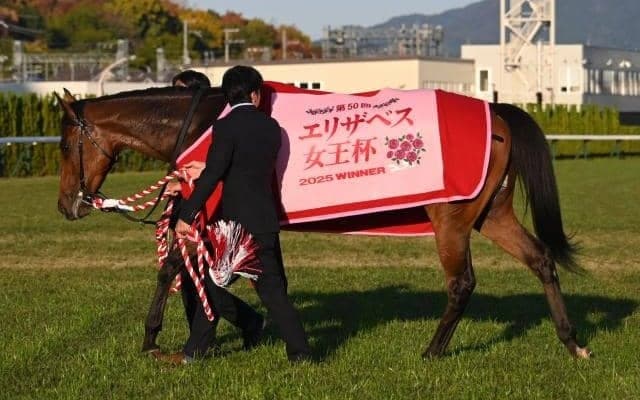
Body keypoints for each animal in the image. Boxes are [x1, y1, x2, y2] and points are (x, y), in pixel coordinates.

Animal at [54, 86, 592, 359]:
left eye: (63, 144)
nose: (66, 205)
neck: (202, 122)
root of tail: (496, 112)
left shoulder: (208, 206)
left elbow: (179, 270)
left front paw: (157, 336)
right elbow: (228, 274)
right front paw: (247, 324)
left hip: (452, 222)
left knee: (462, 284)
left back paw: (432, 351)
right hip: (491, 214)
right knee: (541, 260)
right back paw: (572, 342)